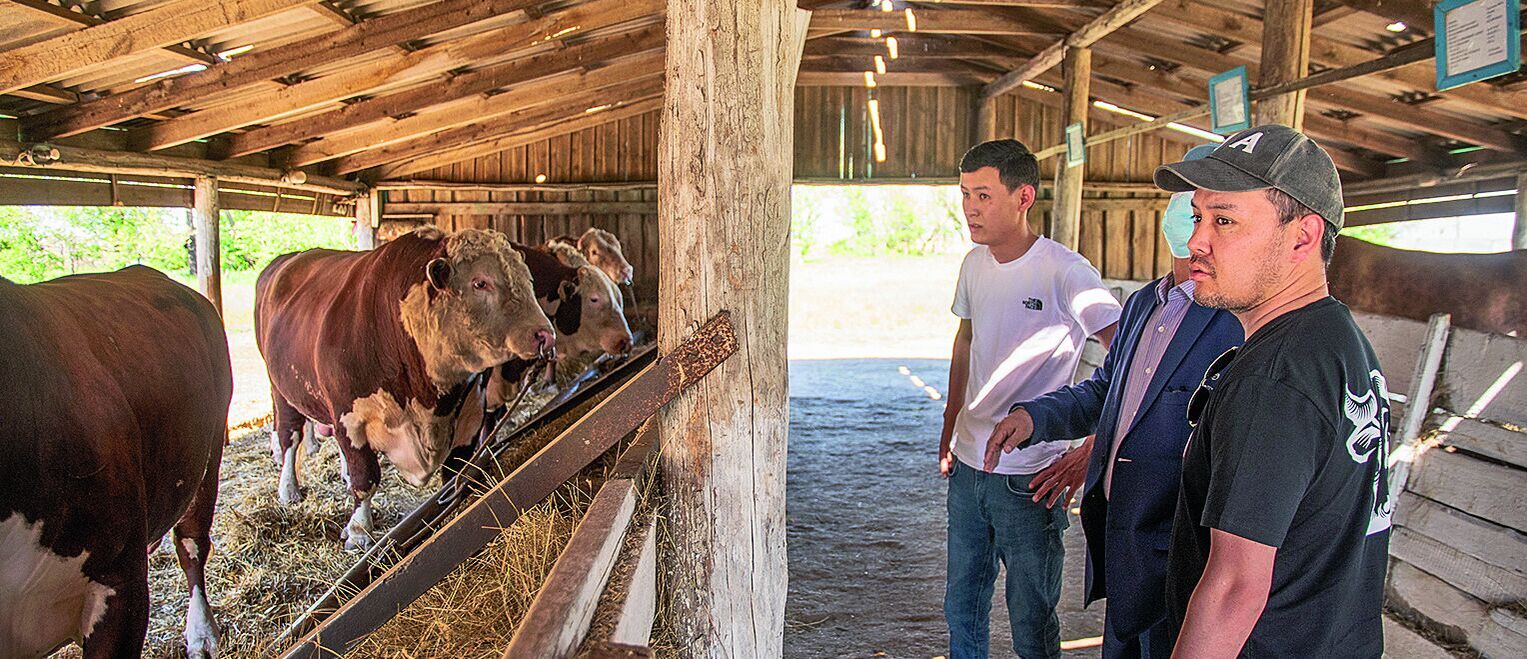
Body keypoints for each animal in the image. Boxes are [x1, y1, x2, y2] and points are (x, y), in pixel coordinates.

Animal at [256, 225, 555, 552]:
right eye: (480, 282)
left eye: (527, 280)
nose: (545, 335)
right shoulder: (349, 416)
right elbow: (365, 476)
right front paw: (359, 529)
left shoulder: (470, 414)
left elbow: (455, 470)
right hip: (280, 388)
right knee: (290, 436)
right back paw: (289, 489)